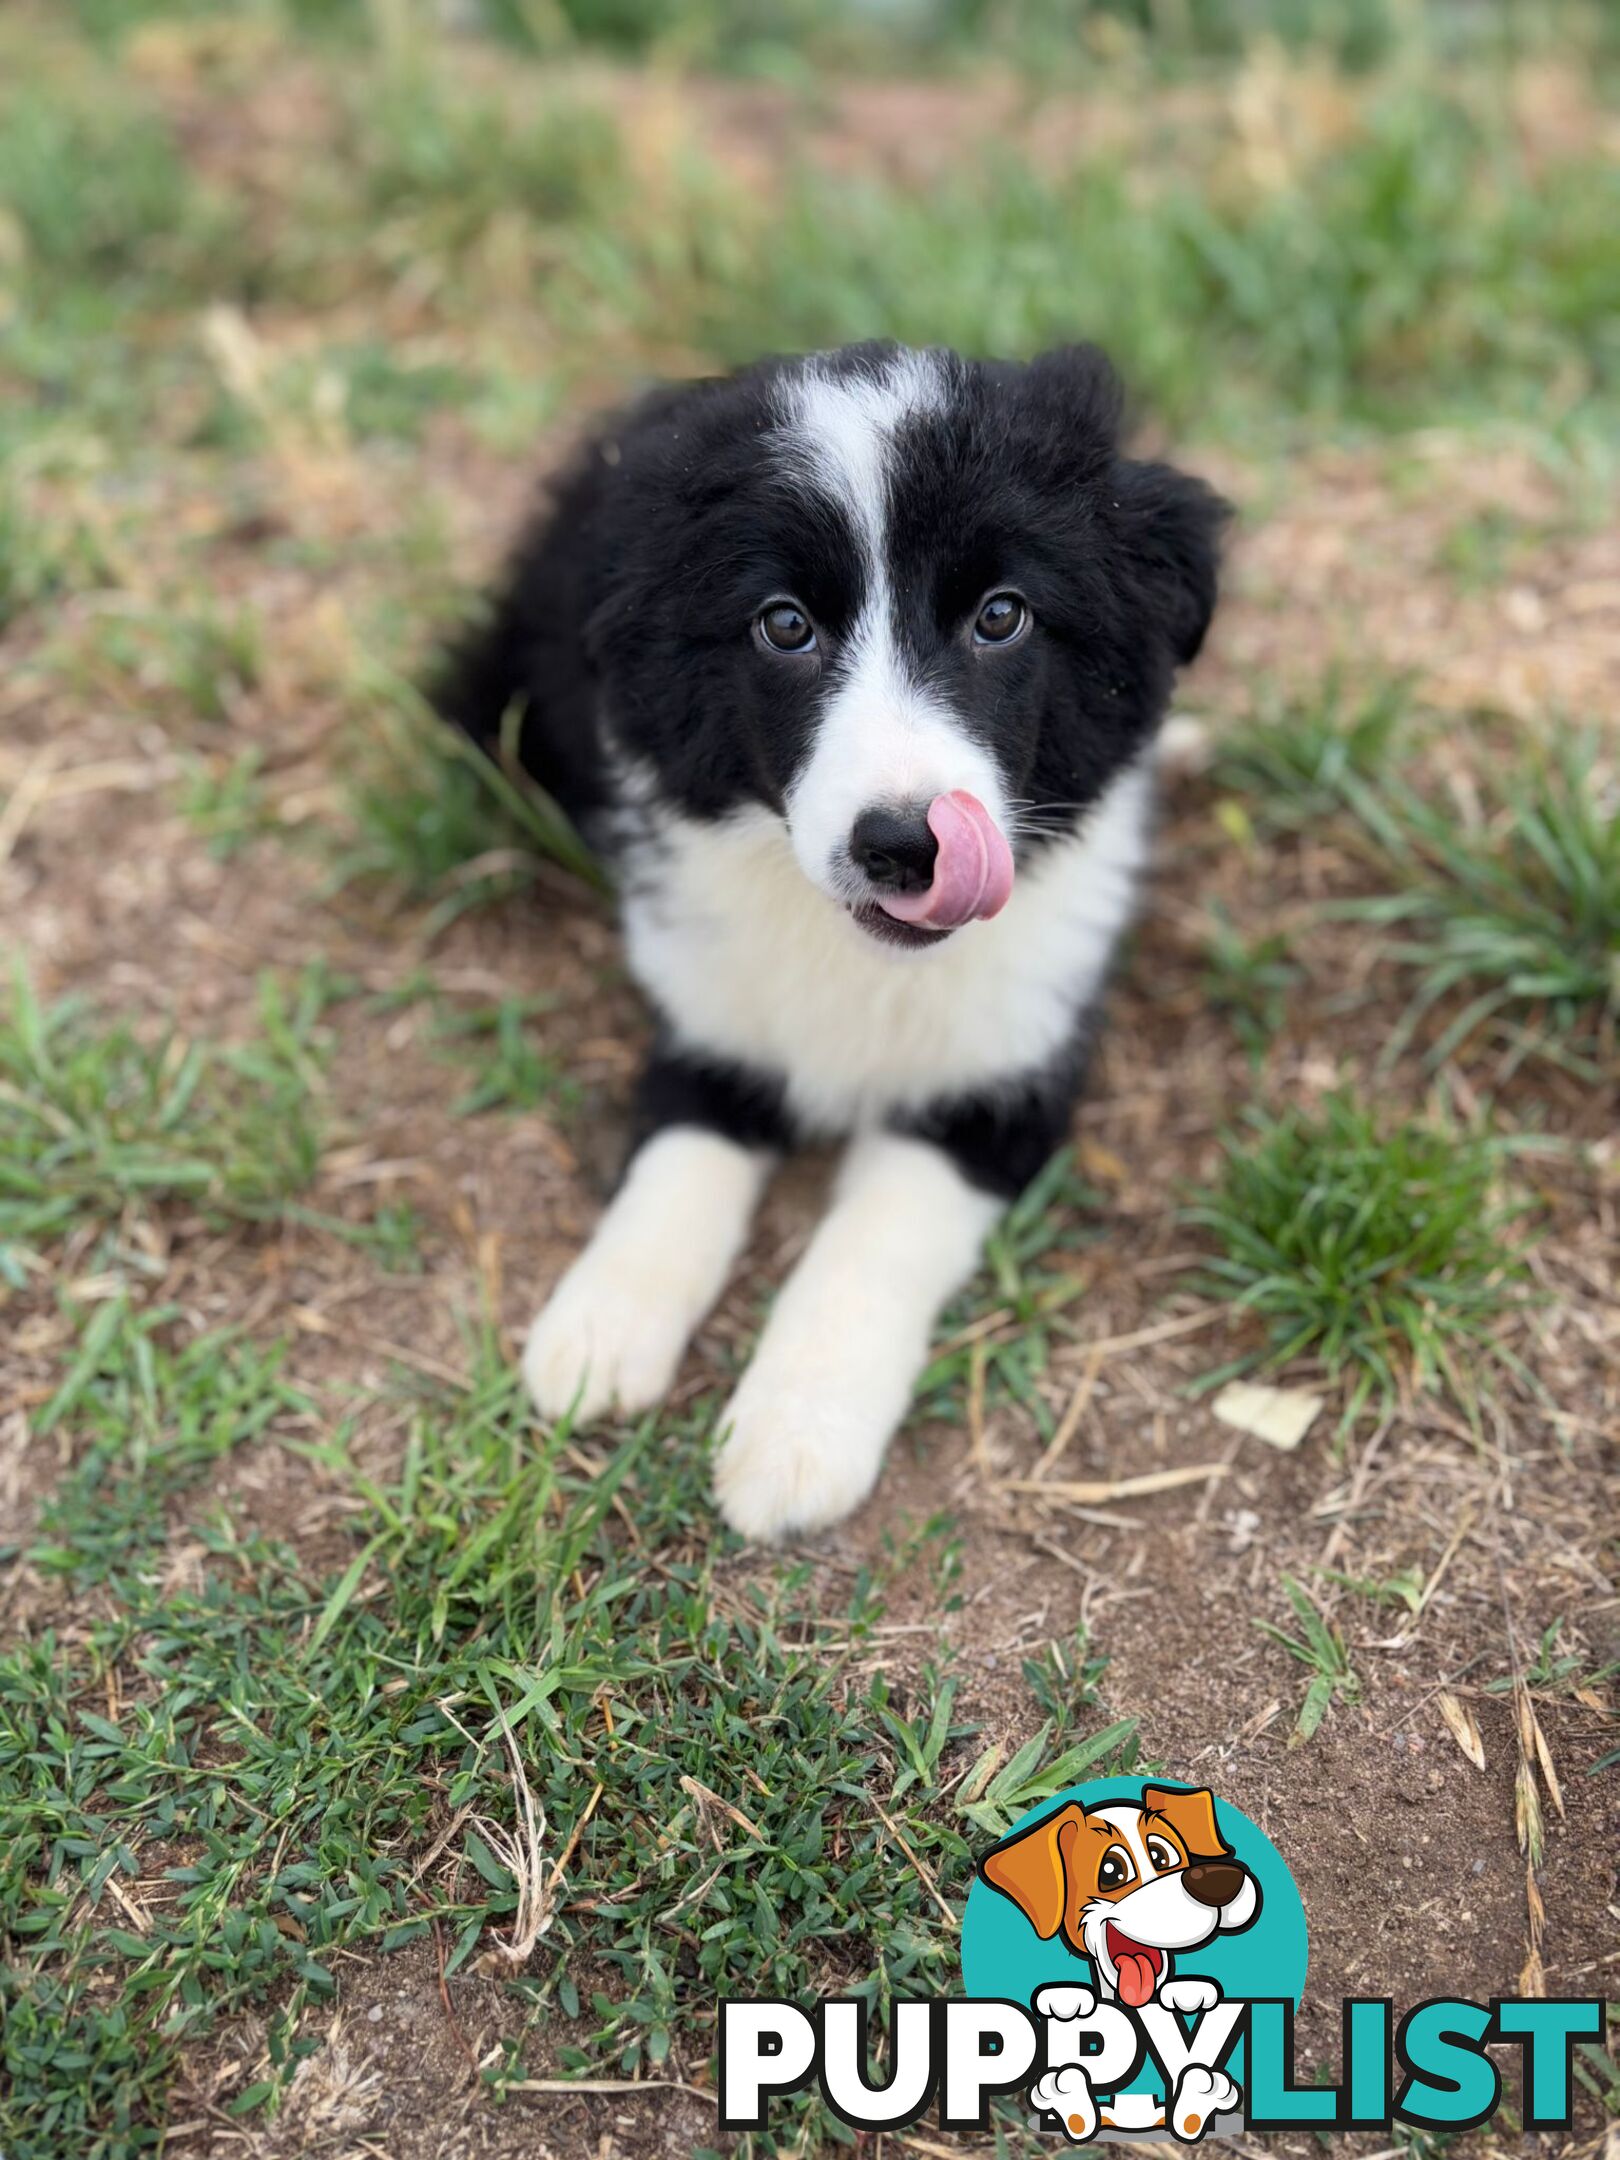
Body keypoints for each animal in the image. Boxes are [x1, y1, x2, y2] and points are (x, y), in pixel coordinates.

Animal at [438, 336, 1226, 1546]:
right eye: (784, 626)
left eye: (1001, 616)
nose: (906, 845)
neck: (859, 963)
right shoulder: (710, 1019)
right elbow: (677, 1158)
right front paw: (601, 1327)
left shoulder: (1002, 1081)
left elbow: (869, 1241)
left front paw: (794, 1436)